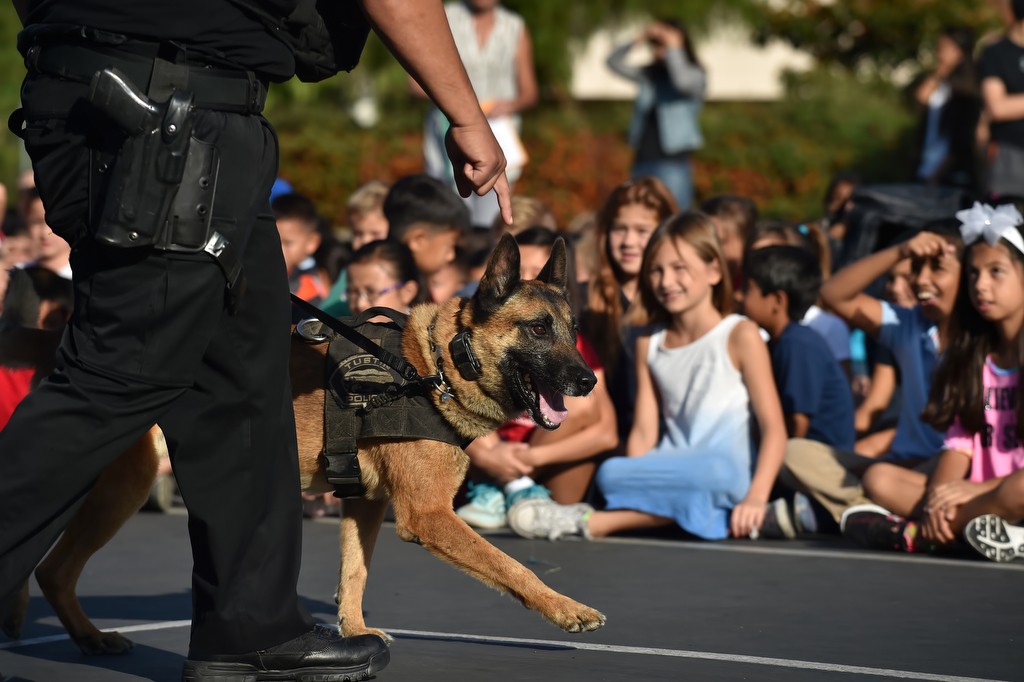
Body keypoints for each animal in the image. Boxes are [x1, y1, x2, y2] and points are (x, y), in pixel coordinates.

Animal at [2, 235, 606, 655]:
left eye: (574, 330)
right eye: (537, 329)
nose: (589, 381)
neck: (436, 363)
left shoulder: (366, 504)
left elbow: (354, 572)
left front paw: (355, 631)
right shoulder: (429, 515)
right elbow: (511, 567)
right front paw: (566, 609)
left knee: (53, 568)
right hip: (120, 485)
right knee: (55, 566)